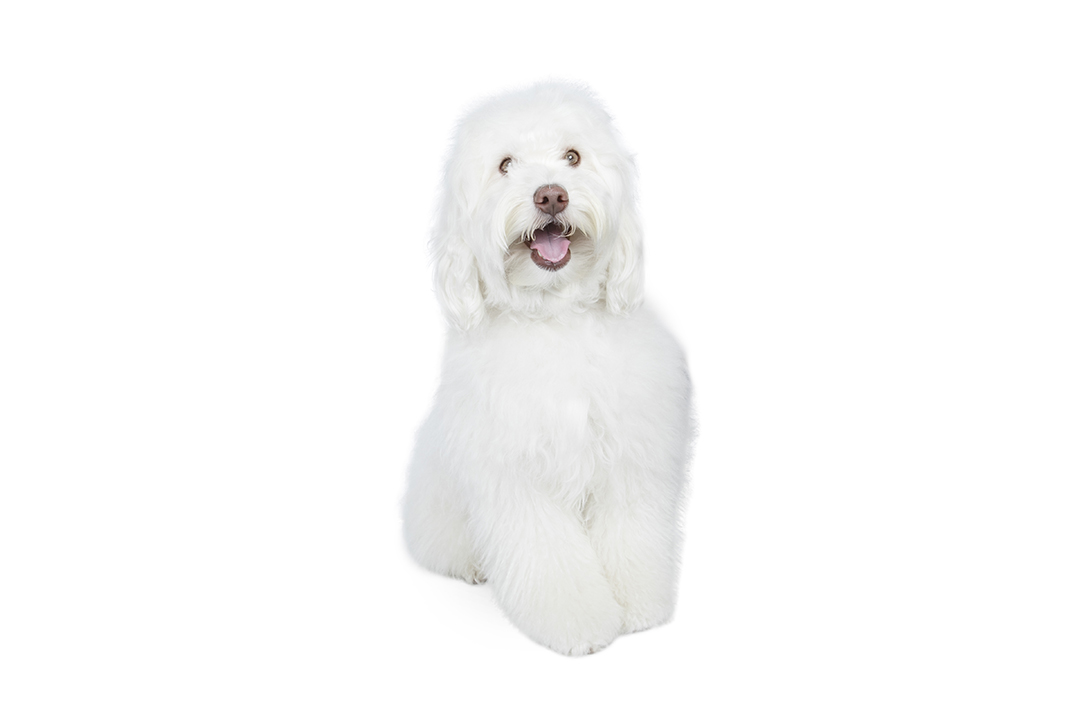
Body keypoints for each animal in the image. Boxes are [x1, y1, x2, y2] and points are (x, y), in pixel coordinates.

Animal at [403, 82, 693, 655]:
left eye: (573, 156)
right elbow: (549, 559)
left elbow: (632, 535)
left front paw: (637, 606)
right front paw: (580, 624)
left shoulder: (629, 462)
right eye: (505, 164)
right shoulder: (518, 480)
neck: (557, 316)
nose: (551, 196)